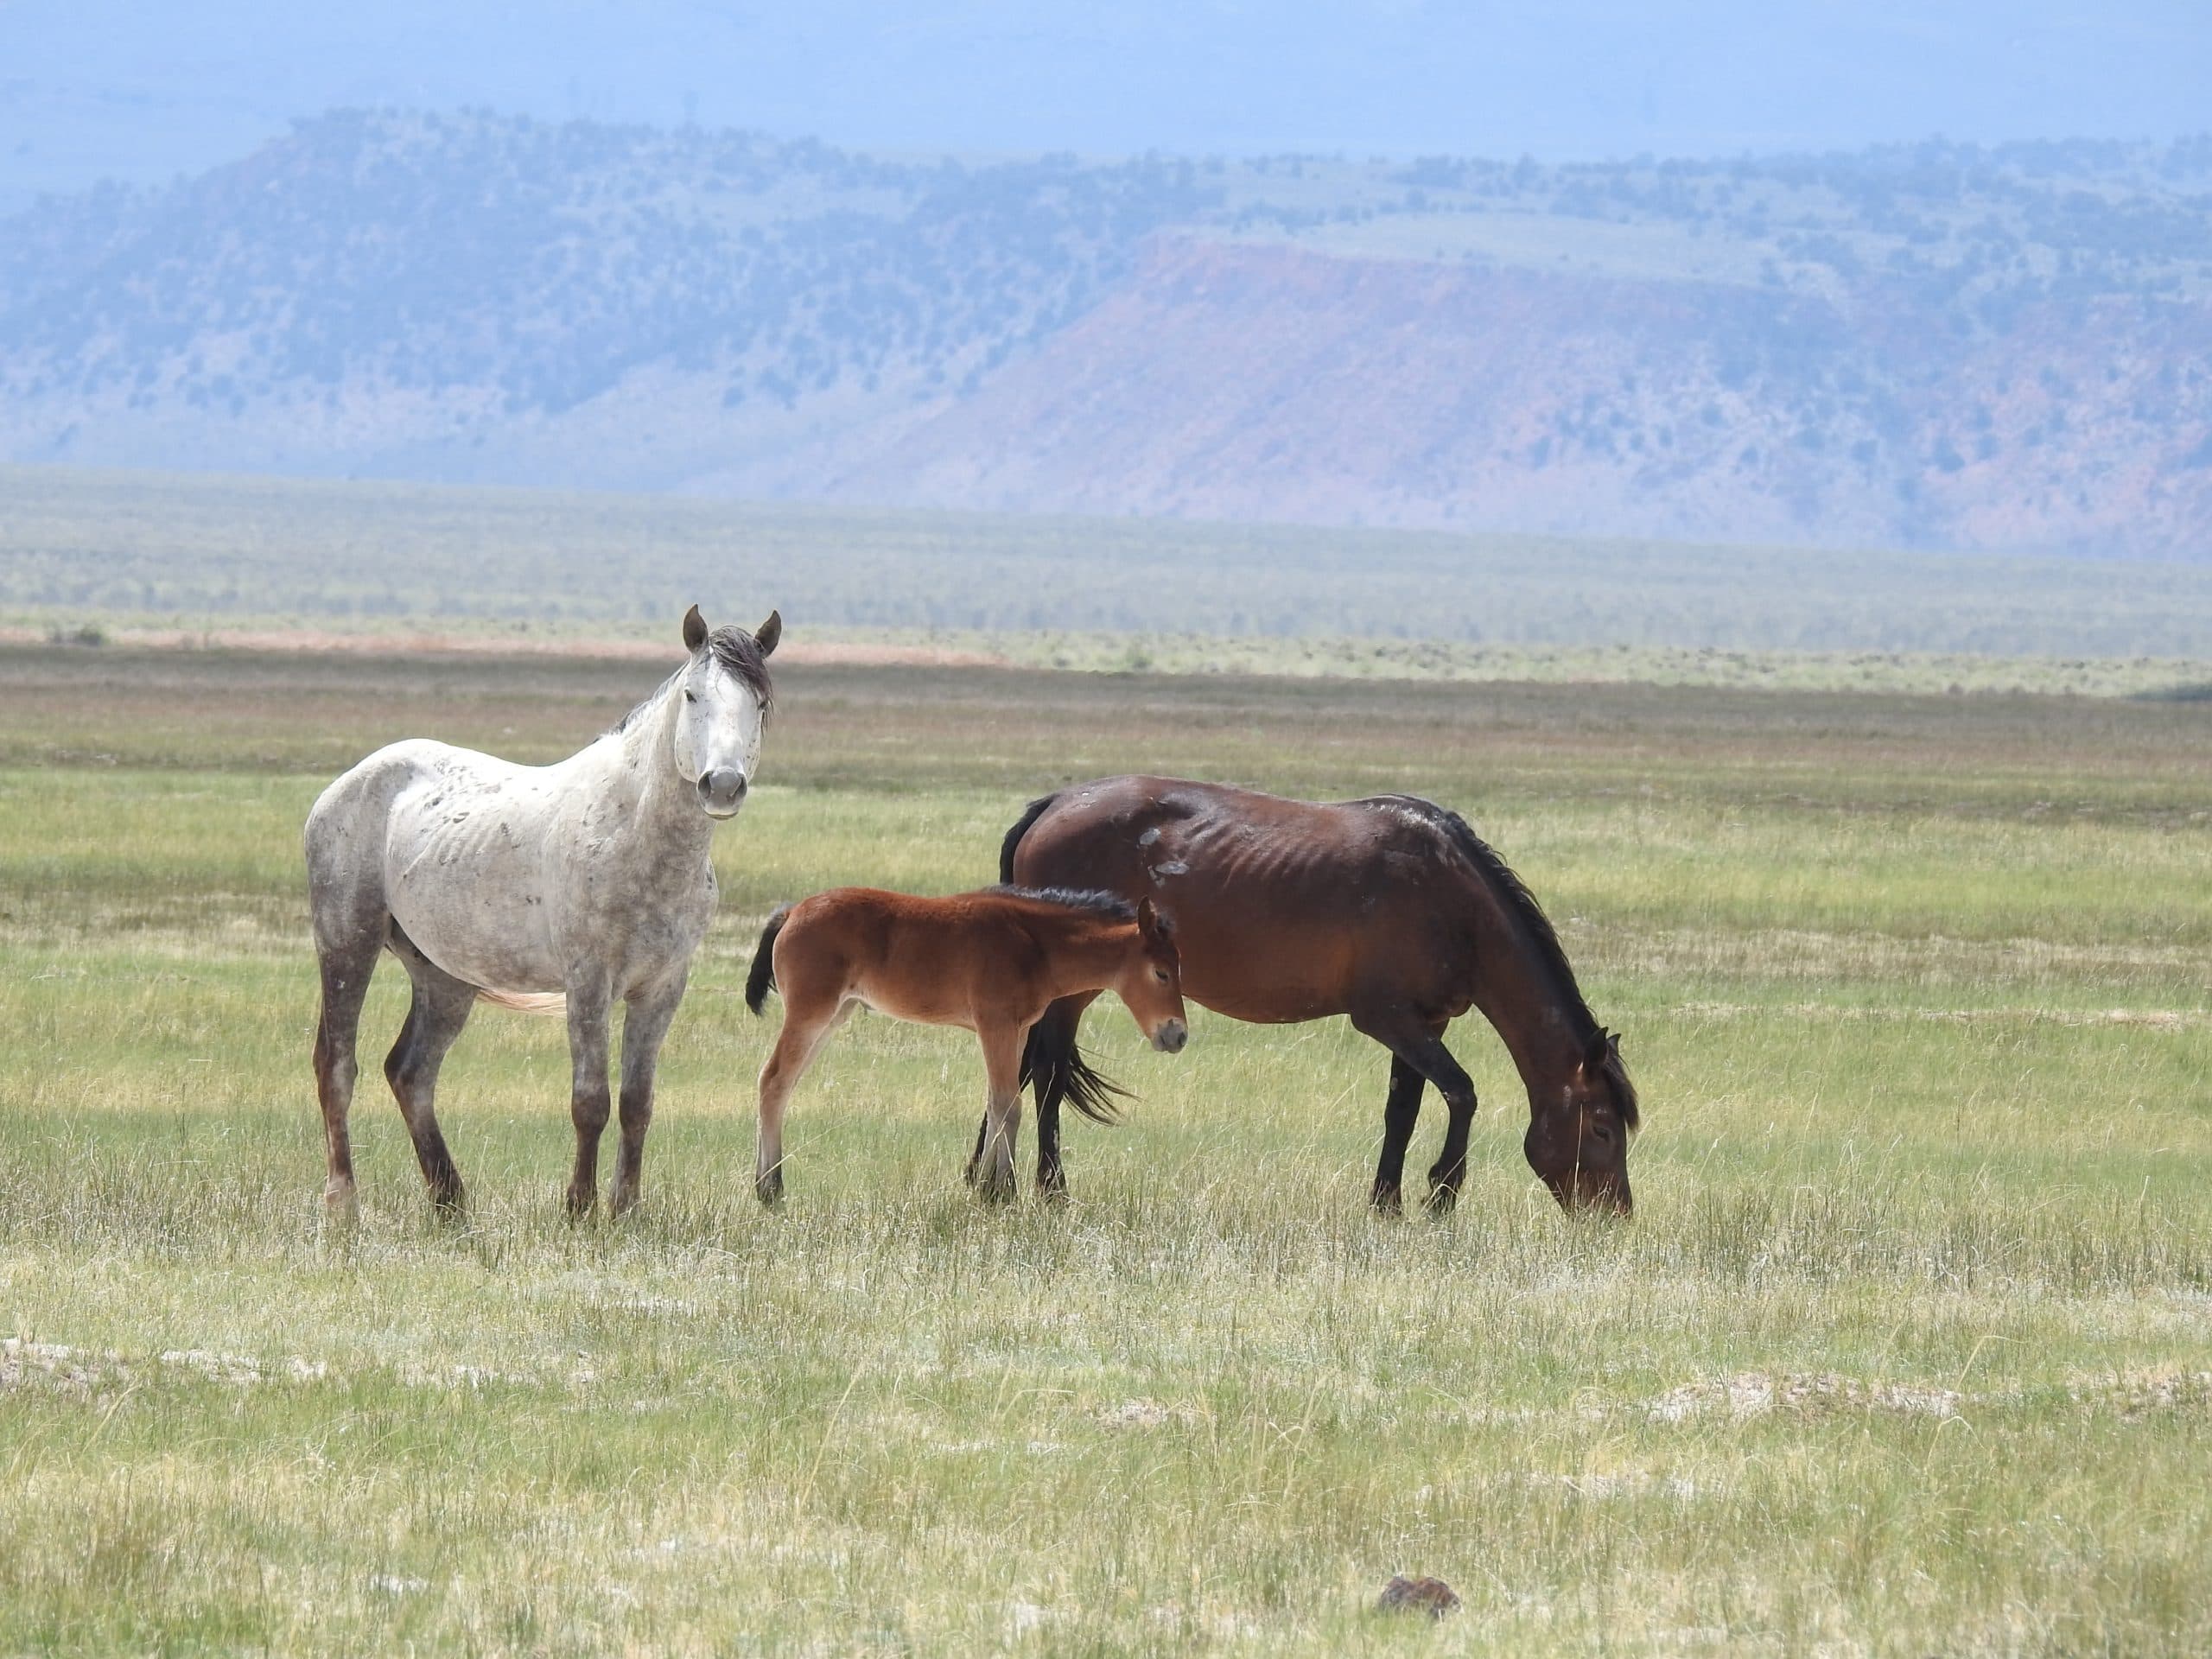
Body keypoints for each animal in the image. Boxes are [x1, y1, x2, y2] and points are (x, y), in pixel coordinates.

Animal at [304, 604, 780, 1219]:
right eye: (693, 694)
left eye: (760, 703)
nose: (721, 785)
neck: (633, 833)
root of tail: (345, 784)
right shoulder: (588, 982)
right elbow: (590, 1101)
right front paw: (578, 1208)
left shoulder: (661, 988)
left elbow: (637, 1102)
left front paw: (626, 1210)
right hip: (347, 944)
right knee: (338, 1066)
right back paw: (344, 1201)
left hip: (444, 978)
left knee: (411, 1074)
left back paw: (451, 1202)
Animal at [743, 886, 1187, 1203]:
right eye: (1161, 973)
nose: (1178, 1034)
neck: (1034, 946)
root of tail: (791, 912)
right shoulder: (995, 1025)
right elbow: (1009, 1105)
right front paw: (1003, 1192)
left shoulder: (1017, 1030)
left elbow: (997, 1102)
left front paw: (989, 1189)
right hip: (811, 1012)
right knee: (773, 1080)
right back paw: (770, 1190)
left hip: (836, 1014)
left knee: (782, 1084)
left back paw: (768, 1183)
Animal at [992, 776, 1639, 1215]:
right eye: (1603, 1129)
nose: (1615, 1217)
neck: (1452, 900)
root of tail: (1054, 805)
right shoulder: (1387, 1018)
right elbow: (1462, 1093)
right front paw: (1441, 1194)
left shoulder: (1424, 1024)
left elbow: (1402, 1110)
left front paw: (1386, 1204)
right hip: (1070, 993)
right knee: (1047, 1075)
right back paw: (1049, 1190)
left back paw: (995, 1183)